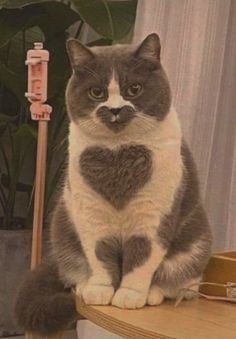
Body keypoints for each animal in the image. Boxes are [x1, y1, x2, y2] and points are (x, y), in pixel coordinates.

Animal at [15, 33, 213, 336]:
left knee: (181, 284)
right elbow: (98, 254)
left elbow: (142, 258)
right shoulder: (90, 214)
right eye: (97, 93)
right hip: (62, 227)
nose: (116, 109)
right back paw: (84, 286)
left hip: (196, 243)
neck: (118, 154)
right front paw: (100, 290)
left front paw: (130, 294)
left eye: (134, 89)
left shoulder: (153, 216)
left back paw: (154, 293)